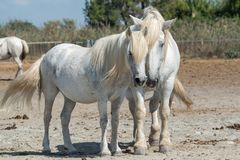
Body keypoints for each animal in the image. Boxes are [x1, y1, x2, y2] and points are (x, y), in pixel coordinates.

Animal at [0, 27, 149, 156]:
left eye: (146, 53)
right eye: (130, 53)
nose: (140, 80)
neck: (110, 66)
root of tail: (46, 55)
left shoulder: (118, 98)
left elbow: (115, 122)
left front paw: (116, 150)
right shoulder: (102, 99)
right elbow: (104, 121)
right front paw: (105, 151)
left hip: (69, 98)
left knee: (64, 118)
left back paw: (70, 148)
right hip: (50, 94)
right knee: (47, 117)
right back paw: (47, 147)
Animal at [126, 6, 192, 154]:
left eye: (162, 44)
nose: (150, 80)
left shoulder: (167, 84)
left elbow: (164, 111)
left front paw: (164, 143)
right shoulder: (136, 85)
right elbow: (139, 112)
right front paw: (139, 144)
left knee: (154, 104)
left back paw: (154, 137)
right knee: (134, 109)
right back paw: (136, 139)